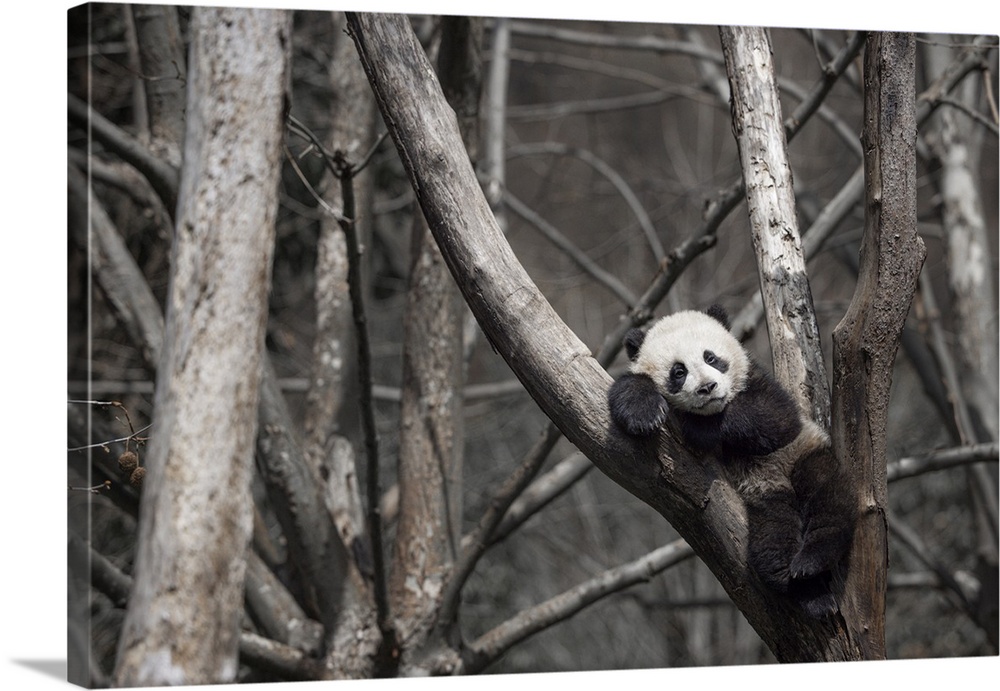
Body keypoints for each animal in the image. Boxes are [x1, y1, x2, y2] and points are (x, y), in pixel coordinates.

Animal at [608, 304, 856, 618]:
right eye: (678, 371)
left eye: (711, 357)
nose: (708, 387)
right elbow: (627, 389)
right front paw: (644, 412)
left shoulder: (758, 380)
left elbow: (776, 418)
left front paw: (698, 427)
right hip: (765, 501)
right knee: (772, 544)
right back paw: (808, 590)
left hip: (802, 453)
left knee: (830, 496)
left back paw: (812, 560)